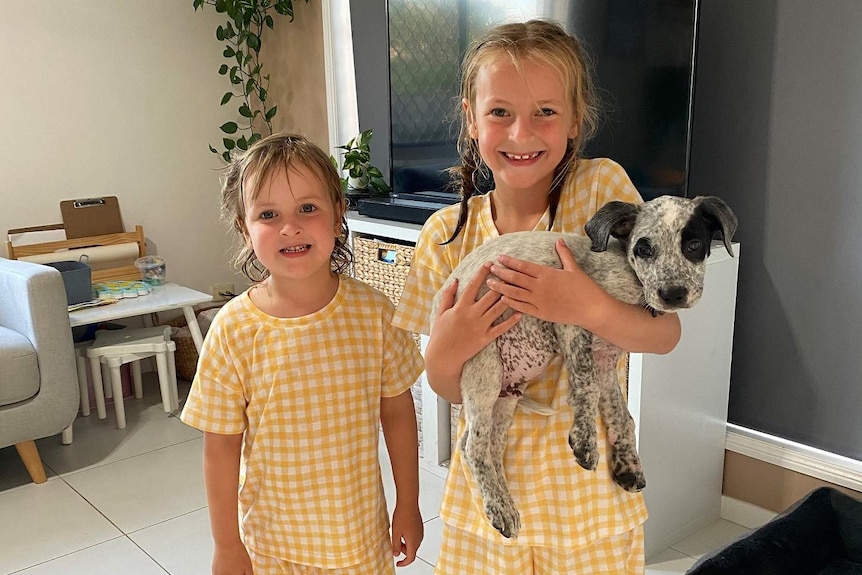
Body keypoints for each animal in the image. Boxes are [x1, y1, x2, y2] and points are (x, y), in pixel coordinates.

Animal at [436, 196, 740, 536]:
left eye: (694, 244)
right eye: (644, 249)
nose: (672, 295)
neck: (630, 282)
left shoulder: (606, 361)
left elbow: (623, 417)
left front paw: (627, 464)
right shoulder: (571, 323)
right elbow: (586, 388)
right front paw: (585, 441)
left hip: (506, 397)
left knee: (480, 444)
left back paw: (503, 500)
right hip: (485, 370)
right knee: (473, 447)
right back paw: (499, 508)